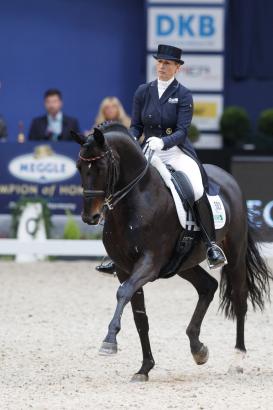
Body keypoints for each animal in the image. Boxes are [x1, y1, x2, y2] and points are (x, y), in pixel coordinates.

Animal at [71, 121, 270, 382]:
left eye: (102, 167)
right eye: (79, 166)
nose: (90, 217)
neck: (137, 199)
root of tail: (227, 178)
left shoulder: (149, 263)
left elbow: (123, 294)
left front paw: (109, 341)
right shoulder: (125, 268)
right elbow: (139, 316)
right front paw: (144, 368)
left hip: (234, 254)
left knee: (239, 299)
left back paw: (237, 360)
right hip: (183, 263)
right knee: (208, 287)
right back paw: (198, 349)